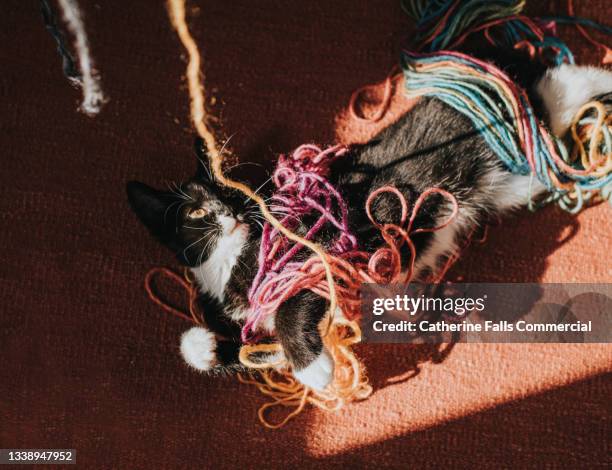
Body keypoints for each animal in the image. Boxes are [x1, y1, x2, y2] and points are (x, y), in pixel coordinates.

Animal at [128, 54, 612, 390]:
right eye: (195, 212)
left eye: (232, 193)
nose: (229, 212)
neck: (229, 260)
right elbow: (254, 351)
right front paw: (204, 347)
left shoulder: (321, 244)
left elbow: (291, 306)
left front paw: (315, 370)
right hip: (515, 179)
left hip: (504, 140)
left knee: (556, 88)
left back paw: (596, 79)